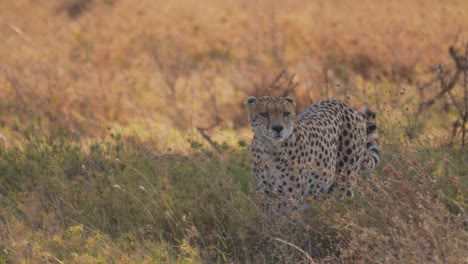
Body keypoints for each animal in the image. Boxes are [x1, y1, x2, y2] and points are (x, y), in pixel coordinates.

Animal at [245, 96, 380, 209]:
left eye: (286, 113)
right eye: (264, 114)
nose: (278, 128)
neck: (270, 149)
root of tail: (346, 105)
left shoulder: (290, 198)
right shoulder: (265, 195)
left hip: (345, 181)